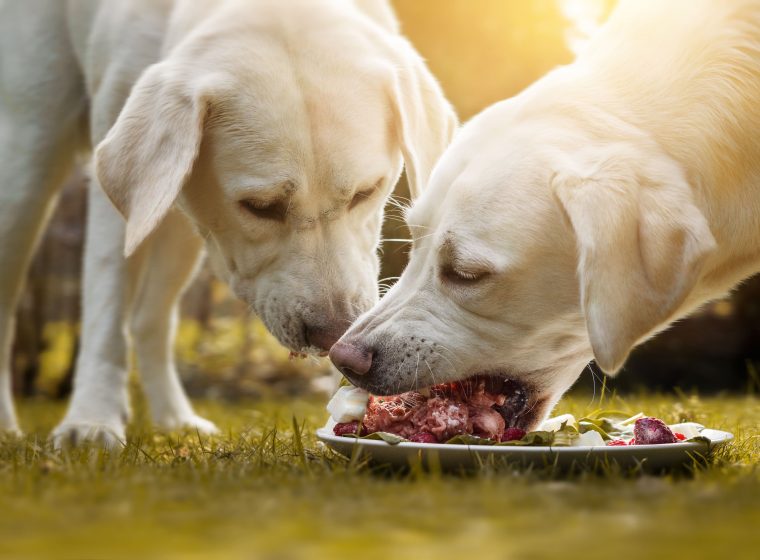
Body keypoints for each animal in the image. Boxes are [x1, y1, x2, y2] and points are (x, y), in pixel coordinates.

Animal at [0, 1, 454, 446]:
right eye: (260, 207)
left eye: (365, 192)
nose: (333, 335)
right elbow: (106, 304)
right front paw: (92, 421)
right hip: (29, 157)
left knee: (150, 318)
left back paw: (174, 418)